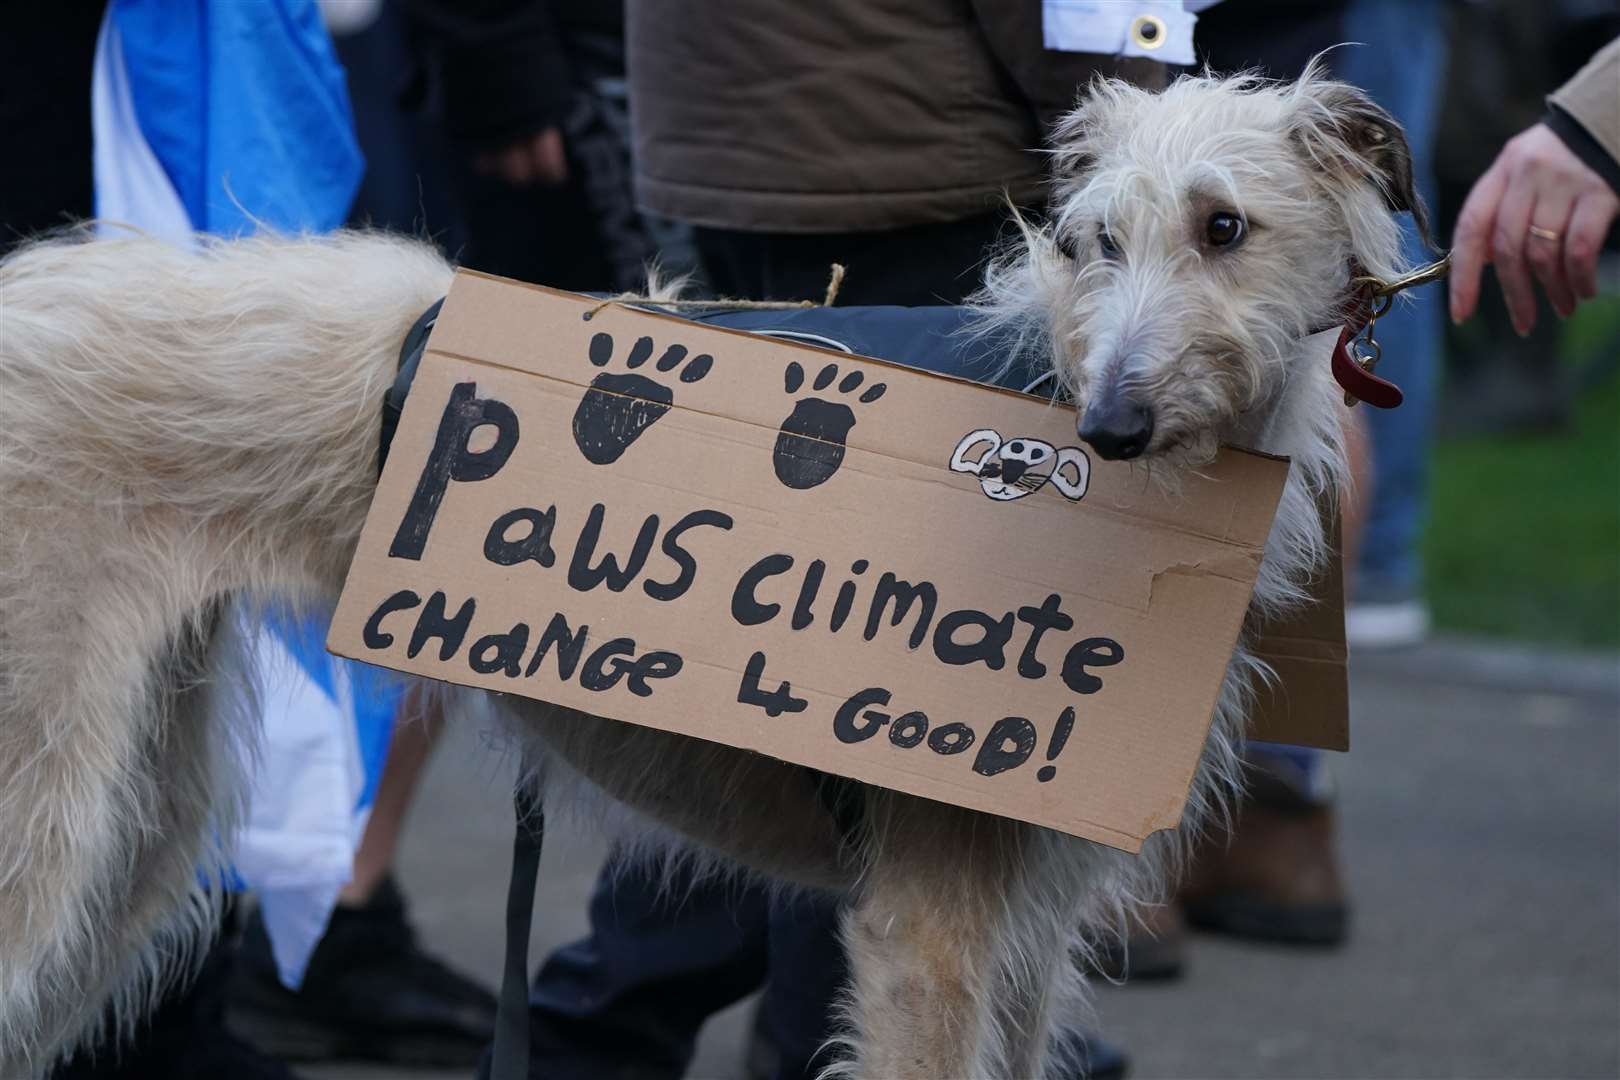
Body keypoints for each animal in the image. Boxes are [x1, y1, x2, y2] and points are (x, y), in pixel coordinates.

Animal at [0, 63, 1419, 1075]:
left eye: (1225, 226)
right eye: (1091, 242)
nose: (1110, 427)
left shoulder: (1029, 930)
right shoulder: (929, 937)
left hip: (135, 825)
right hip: (47, 819)